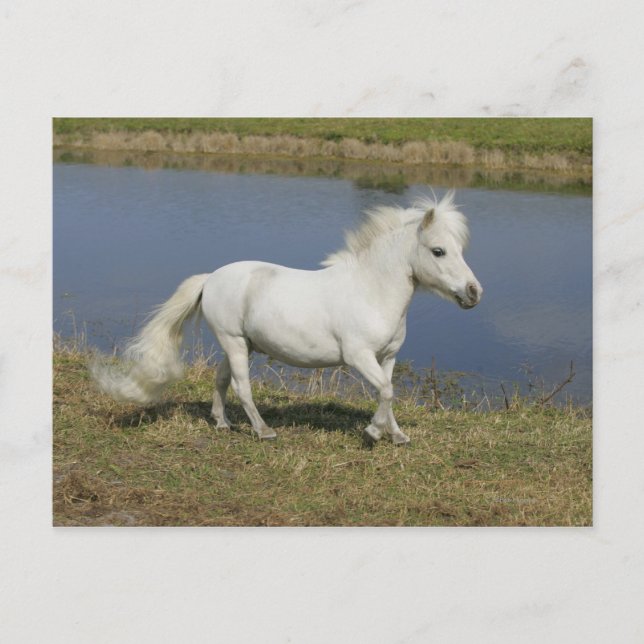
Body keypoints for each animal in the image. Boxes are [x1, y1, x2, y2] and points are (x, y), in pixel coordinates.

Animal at [91, 189, 482, 445]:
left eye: (460, 249)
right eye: (438, 251)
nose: (474, 292)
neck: (370, 290)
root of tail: (211, 278)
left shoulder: (388, 357)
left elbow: (388, 393)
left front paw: (396, 435)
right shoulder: (359, 356)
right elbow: (385, 392)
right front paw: (372, 433)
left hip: (241, 344)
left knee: (221, 380)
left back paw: (222, 424)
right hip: (234, 342)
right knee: (241, 386)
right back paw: (264, 431)